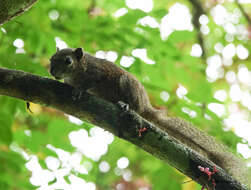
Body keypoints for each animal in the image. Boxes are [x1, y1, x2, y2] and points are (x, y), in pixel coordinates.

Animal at [50, 47, 250, 187]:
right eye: (52, 59)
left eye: (68, 60)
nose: (52, 72)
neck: (79, 69)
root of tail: (146, 106)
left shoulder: (98, 73)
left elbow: (90, 83)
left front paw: (79, 90)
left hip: (127, 85)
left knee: (134, 106)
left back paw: (125, 105)